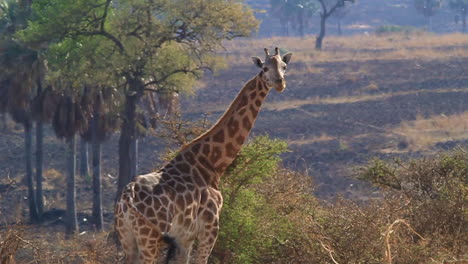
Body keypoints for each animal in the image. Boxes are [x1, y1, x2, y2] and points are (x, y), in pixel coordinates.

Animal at [115, 48, 292, 264]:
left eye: (284, 66)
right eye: (265, 68)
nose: (280, 83)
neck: (211, 163)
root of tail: (126, 200)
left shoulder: (185, 237)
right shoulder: (210, 226)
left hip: (127, 237)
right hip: (149, 238)